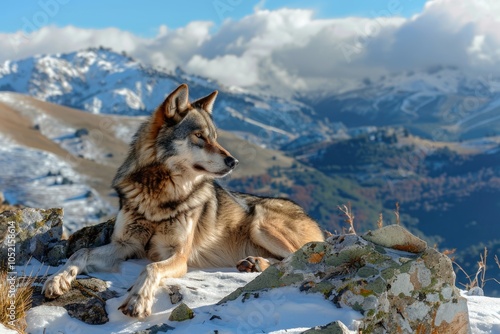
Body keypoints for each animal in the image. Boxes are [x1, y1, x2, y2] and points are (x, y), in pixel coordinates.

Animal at [42, 83, 324, 318]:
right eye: (199, 136)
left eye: (215, 137)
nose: (233, 161)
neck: (159, 195)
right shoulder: (126, 245)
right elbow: (81, 251)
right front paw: (58, 279)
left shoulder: (178, 255)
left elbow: (151, 268)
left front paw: (138, 300)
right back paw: (252, 263)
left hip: (259, 223)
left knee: (295, 257)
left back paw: (256, 263)